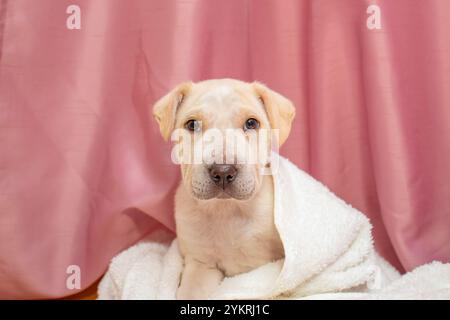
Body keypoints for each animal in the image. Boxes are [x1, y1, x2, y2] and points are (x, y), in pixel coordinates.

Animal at [153, 79, 298, 298]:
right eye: (192, 124)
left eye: (251, 123)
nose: (222, 171)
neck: (226, 209)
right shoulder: (201, 264)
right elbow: (190, 292)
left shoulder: (276, 263)